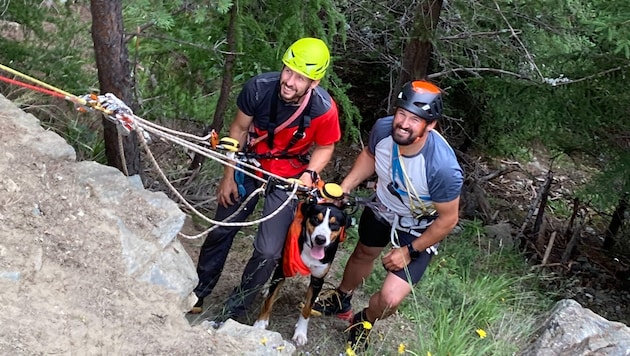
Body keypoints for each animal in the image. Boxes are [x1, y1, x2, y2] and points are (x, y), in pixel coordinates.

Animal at [253, 199, 354, 346]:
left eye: (334, 224)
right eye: (315, 219)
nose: (320, 239)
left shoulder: (318, 279)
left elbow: (307, 309)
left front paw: (300, 333)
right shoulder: (282, 269)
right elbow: (269, 300)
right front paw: (260, 324)